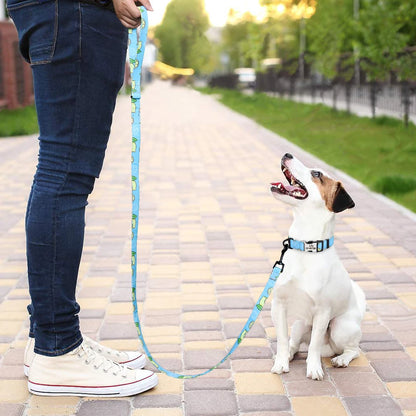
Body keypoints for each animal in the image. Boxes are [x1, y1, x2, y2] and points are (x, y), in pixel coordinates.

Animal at [270, 153, 364, 380]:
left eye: (317, 174)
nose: (287, 154)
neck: (306, 246)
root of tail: (329, 349)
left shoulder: (323, 312)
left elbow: (313, 345)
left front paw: (314, 368)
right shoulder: (278, 304)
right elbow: (282, 339)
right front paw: (281, 363)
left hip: (341, 327)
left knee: (353, 349)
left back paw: (341, 359)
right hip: (300, 324)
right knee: (294, 343)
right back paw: (290, 355)